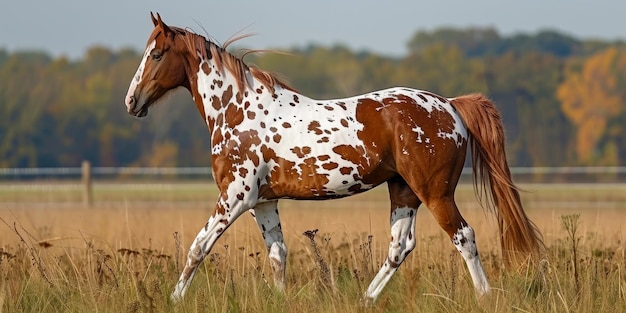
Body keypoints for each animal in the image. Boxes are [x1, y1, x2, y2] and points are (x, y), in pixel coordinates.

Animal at [123, 12, 540, 302]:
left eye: (156, 54)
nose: (131, 101)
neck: (238, 111)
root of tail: (451, 105)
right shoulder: (263, 202)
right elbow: (278, 254)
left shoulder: (235, 197)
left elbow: (198, 248)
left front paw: (174, 299)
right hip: (403, 191)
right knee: (399, 247)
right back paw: (365, 299)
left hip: (435, 193)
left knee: (463, 237)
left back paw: (484, 297)